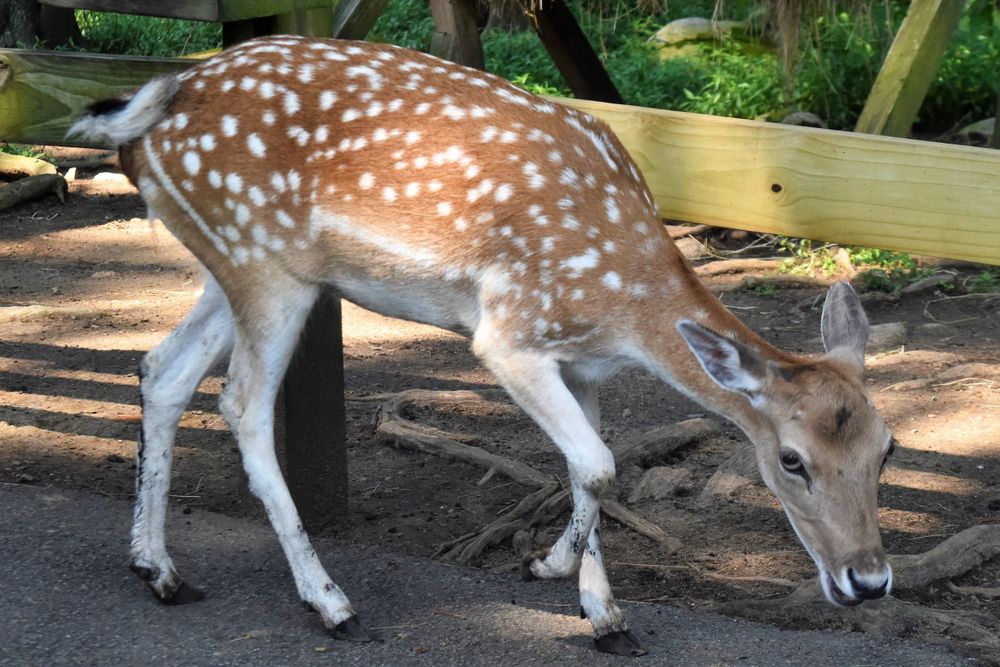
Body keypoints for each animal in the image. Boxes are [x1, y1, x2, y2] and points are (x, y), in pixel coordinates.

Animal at [70, 35, 896, 657]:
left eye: (886, 449)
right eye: (791, 459)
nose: (870, 580)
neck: (625, 306)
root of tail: (148, 112)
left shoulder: (583, 366)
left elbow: (592, 467)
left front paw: (607, 617)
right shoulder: (508, 335)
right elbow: (599, 464)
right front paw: (544, 566)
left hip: (234, 262)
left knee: (162, 367)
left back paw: (159, 569)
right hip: (264, 263)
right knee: (240, 401)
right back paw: (331, 602)